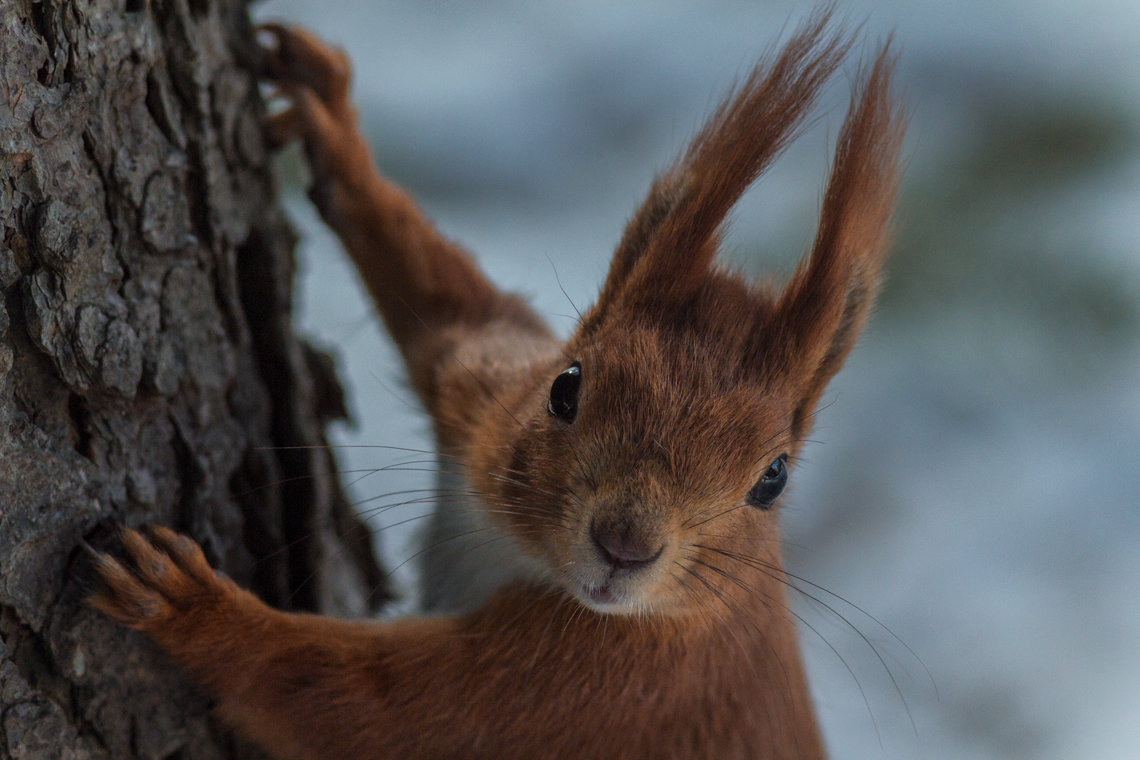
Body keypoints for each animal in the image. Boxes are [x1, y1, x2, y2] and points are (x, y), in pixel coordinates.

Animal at [88, 11, 902, 760]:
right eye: (565, 387)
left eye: (773, 478)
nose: (625, 546)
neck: (529, 558)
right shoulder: (482, 392)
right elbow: (449, 301)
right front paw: (332, 126)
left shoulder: (584, 687)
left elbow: (366, 707)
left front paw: (193, 608)